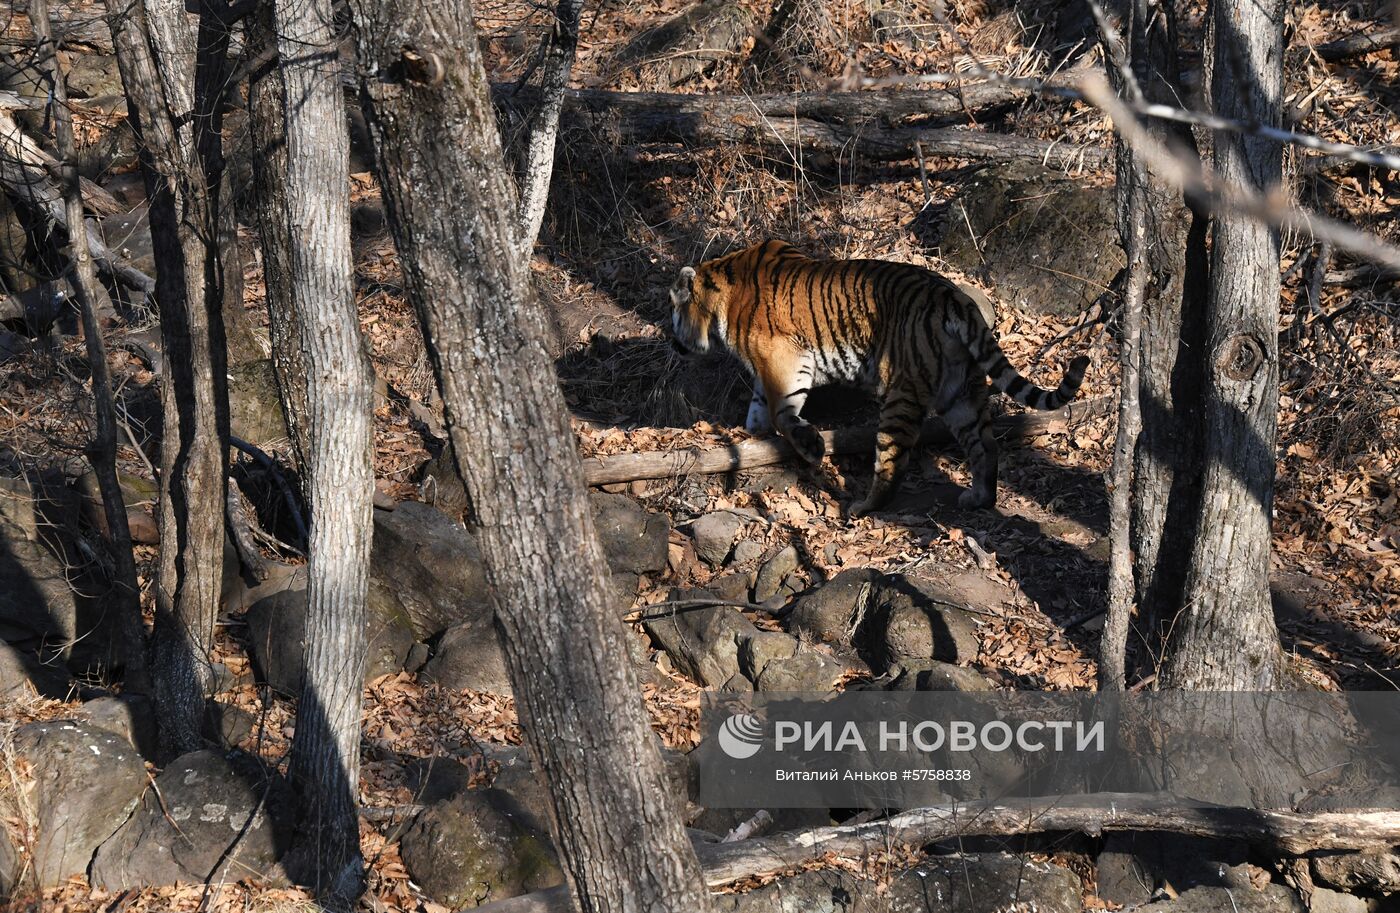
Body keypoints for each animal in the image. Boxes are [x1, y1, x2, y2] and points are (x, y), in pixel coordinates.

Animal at [669, 239, 1092, 518]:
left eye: (673, 313)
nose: (674, 345)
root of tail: (953, 298)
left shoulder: (785, 360)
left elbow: (781, 412)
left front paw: (809, 447)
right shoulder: (769, 367)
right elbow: (760, 408)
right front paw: (754, 435)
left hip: (901, 393)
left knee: (893, 463)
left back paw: (863, 507)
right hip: (962, 393)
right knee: (986, 447)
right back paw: (979, 499)